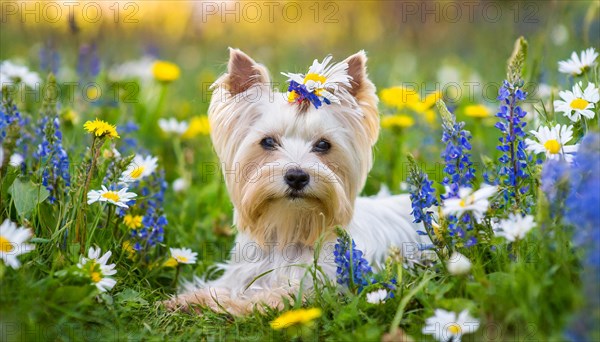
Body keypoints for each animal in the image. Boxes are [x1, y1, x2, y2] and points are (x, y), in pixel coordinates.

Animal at [164, 48, 426, 316]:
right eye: (268, 141)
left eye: (323, 145)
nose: (297, 176)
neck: (289, 229)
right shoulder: (240, 274)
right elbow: (219, 289)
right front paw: (189, 300)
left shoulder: (318, 285)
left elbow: (270, 298)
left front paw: (234, 305)